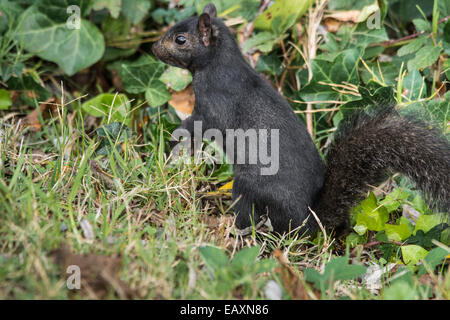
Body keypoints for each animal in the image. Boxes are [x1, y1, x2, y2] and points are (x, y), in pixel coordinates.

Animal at [152, 3, 450, 235]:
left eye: (180, 40)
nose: (154, 49)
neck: (217, 64)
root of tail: (308, 221)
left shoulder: (212, 106)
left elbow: (197, 125)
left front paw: (175, 137)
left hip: (249, 186)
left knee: (251, 217)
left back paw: (237, 229)